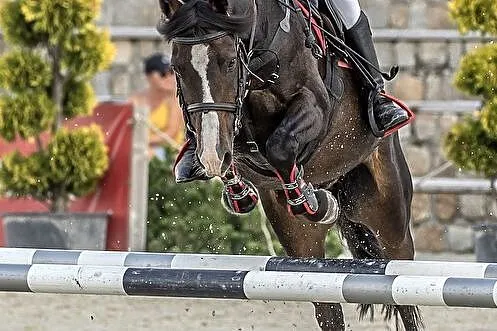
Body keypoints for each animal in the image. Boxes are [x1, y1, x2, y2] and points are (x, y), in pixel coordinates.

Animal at [157, 1, 420, 330]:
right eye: (177, 68)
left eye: (230, 63)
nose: (212, 156)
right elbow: (233, 145)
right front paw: (237, 190)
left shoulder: (315, 104)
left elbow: (280, 145)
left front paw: (308, 198)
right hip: (302, 242)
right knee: (328, 309)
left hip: (388, 216)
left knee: (403, 291)